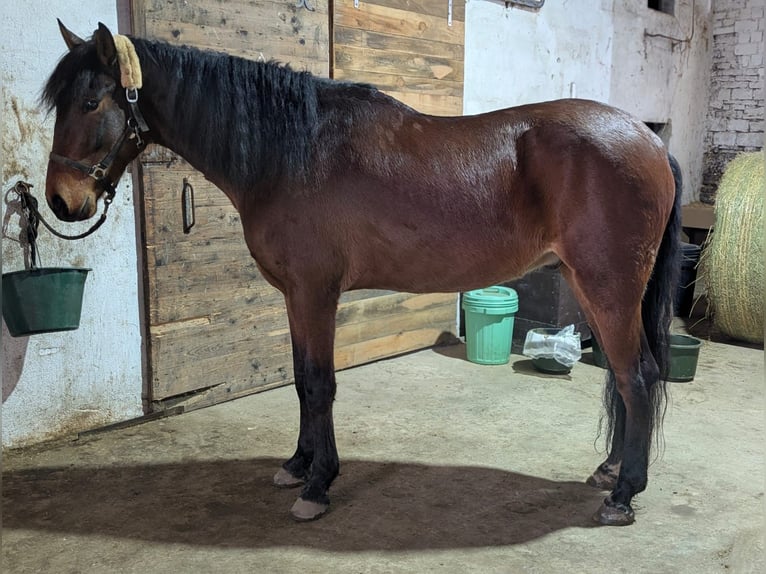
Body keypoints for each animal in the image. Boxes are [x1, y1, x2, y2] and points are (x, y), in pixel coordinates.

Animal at [43, 21, 681, 526]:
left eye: (91, 103)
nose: (60, 201)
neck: (292, 151)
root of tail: (647, 138)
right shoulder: (294, 297)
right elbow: (301, 381)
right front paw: (297, 465)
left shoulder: (315, 293)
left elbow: (320, 383)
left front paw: (319, 485)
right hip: (592, 287)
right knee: (624, 379)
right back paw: (610, 471)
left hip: (609, 290)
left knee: (638, 377)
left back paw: (624, 495)